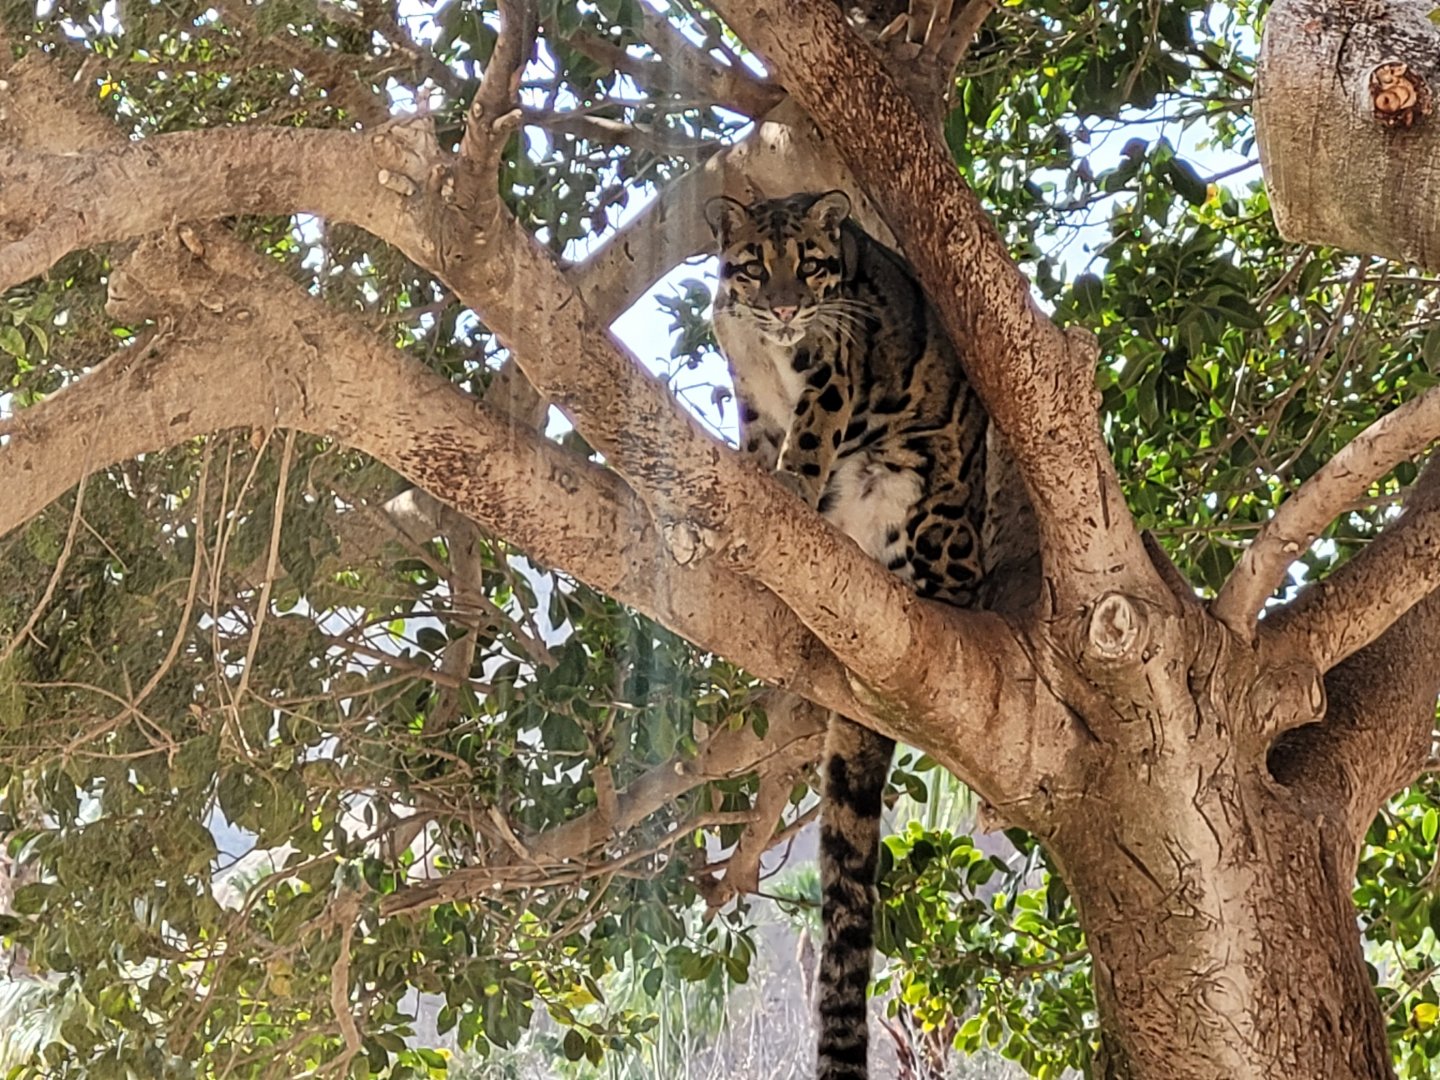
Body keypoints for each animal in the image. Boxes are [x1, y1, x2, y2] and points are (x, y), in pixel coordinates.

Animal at [705, 189, 990, 1080]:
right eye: (756, 265)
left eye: (813, 263)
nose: (785, 305)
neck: (768, 348)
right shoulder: (749, 387)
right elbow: (759, 437)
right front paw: (751, 471)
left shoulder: (834, 368)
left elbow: (807, 438)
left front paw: (789, 487)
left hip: (920, 496)